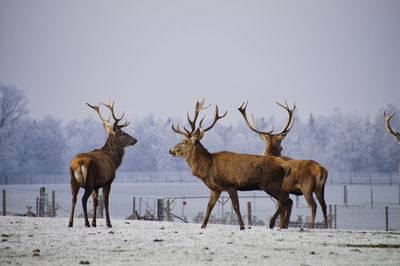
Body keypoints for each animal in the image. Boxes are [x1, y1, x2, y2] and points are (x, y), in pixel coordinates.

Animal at [170, 98, 294, 230]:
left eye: (184, 142)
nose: (170, 150)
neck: (208, 166)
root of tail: (286, 166)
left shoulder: (230, 184)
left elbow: (236, 206)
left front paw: (242, 226)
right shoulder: (215, 189)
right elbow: (209, 207)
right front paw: (203, 226)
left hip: (270, 183)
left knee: (286, 200)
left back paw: (272, 223)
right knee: (286, 201)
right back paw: (282, 225)